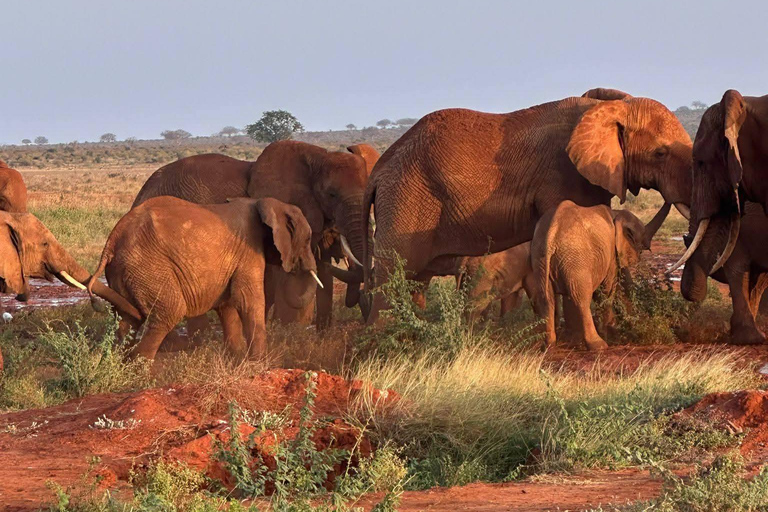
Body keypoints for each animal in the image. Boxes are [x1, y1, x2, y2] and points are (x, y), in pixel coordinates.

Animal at [86, 196, 319, 361]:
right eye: (308, 239)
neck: (265, 203)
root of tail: (112, 240)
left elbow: (227, 305)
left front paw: (237, 360)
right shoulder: (248, 251)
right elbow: (247, 300)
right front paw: (260, 363)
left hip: (127, 272)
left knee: (127, 318)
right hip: (146, 266)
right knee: (169, 311)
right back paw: (140, 375)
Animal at [362, 91, 693, 323]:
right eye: (660, 153)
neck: (605, 108)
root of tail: (379, 170)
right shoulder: (563, 175)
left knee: (414, 281)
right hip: (406, 201)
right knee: (393, 278)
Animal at [531, 200, 670, 350]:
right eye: (641, 236)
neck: (616, 214)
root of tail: (551, 235)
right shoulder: (611, 253)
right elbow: (607, 289)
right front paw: (610, 334)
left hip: (540, 260)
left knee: (546, 299)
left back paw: (548, 346)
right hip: (576, 260)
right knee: (581, 298)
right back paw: (599, 345)